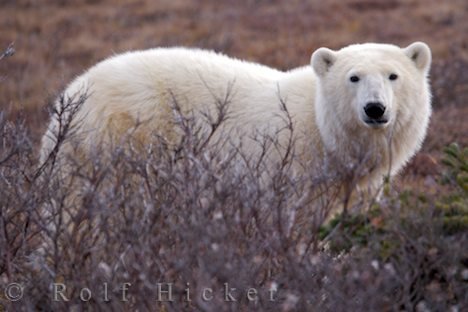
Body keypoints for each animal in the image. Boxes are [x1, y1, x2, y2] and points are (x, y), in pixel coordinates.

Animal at [40, 42, 432, 196]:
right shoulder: (288, 168)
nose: (375, 109)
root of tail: (73, 90)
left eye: (393, 76)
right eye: (354, 77)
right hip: (118, 137)